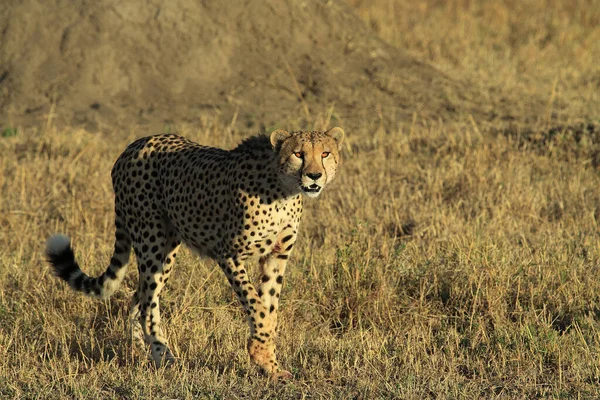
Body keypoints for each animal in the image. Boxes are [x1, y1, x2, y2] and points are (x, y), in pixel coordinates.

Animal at [44, 126, 344, 380]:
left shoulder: (276, 257)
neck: (284, 189)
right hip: (151, 241)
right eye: (298, 154)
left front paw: (269, 364)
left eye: (325, 153)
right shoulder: (229, 255)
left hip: (167, 249)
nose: (314, 175)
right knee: (148, 305)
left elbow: (269, 307)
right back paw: (164, 357)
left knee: (137, 299)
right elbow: (257, 306)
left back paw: (142, 353)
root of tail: (135, 145)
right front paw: (260, 352)